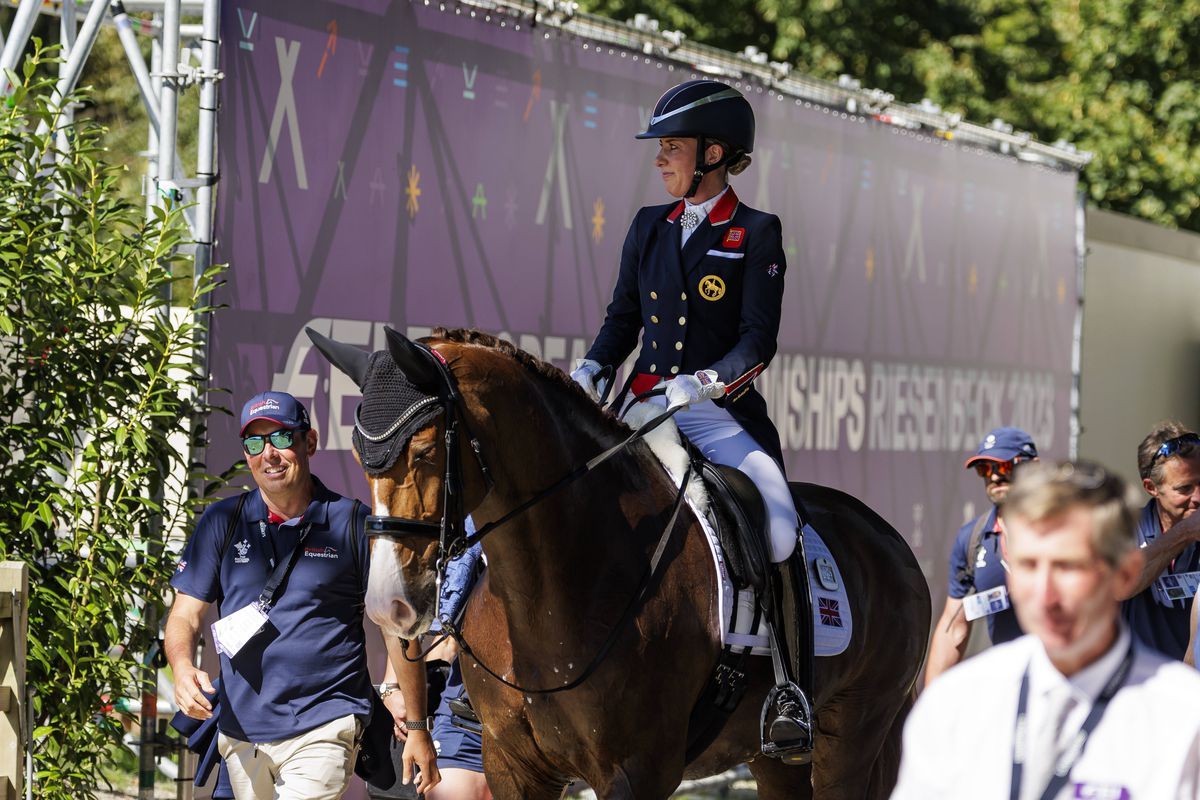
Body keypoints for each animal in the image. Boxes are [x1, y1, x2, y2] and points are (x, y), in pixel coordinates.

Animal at [307, 326, 926, 800]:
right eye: (360, 457)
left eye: (425, 451)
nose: (388, 605)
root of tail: (893, 540)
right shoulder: (514, 767)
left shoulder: (637, 772)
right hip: (774, 758)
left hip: (851, 736)